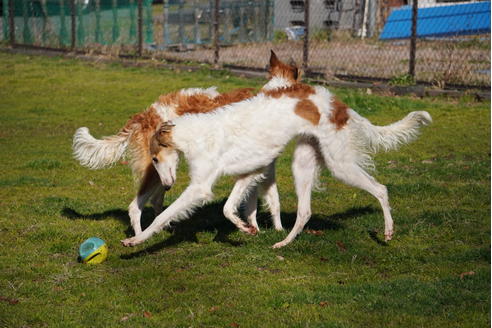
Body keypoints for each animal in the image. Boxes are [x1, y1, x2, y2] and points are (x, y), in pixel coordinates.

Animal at [119, 50, 430, 246]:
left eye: (156, 158)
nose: (167, 185)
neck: (196, 133)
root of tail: (338, 104)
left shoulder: (201, 187)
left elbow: (165, 216)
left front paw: (136, 240)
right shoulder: (251, 171)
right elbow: (231, 209)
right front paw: (247, 229)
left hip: (339, 165)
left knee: (381, 189)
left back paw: (388, 232)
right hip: (302, 163)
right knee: (305, 212)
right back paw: (283, 242)